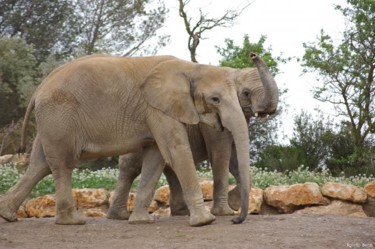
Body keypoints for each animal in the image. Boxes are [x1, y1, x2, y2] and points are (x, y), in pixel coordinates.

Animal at [1, 55, 253, 227]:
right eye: (215, 99)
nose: (236, 220)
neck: (191, 67)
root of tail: (39, 87)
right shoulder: (157, 109)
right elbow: (175, 151)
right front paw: (204, 221)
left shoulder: (156, 112)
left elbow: (156, 157)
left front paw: (141, 222)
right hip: (59, 116)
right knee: (63, 164)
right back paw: (73, 221)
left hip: (51, 120)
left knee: (39, 166)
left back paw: (8, 215)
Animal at [108, 53, 280, 223]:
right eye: (246, 93)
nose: (253, 55)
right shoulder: (212, 123)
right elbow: (221, 155)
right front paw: (225, 213)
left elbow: (234, 159)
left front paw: (232, 204)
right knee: (131, 167)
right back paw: (120, 216)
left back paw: (180, 213)